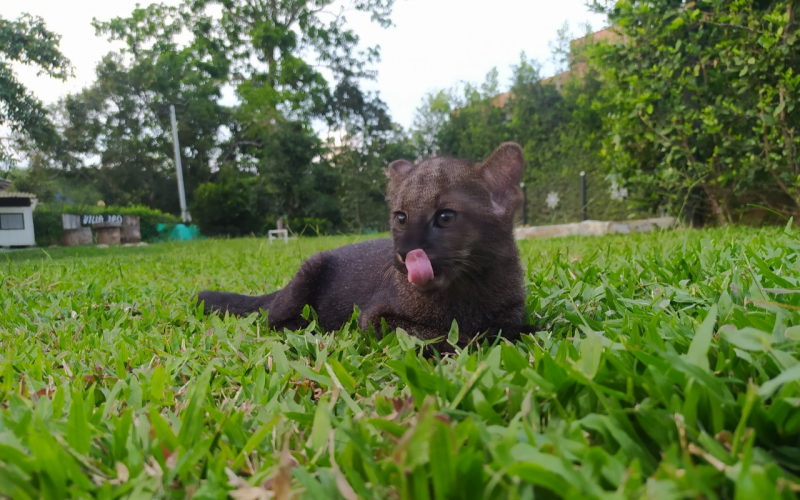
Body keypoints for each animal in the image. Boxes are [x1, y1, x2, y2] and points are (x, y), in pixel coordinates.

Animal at [196, 143, 528, 350]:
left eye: (445, 217)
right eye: (401, 217)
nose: (405, 253)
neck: (470, 289)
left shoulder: (513, 312)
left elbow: (513, 327)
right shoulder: (376, 316)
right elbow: (435, 335)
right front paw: (471, 341)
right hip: (308, 271)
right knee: (272, 319)